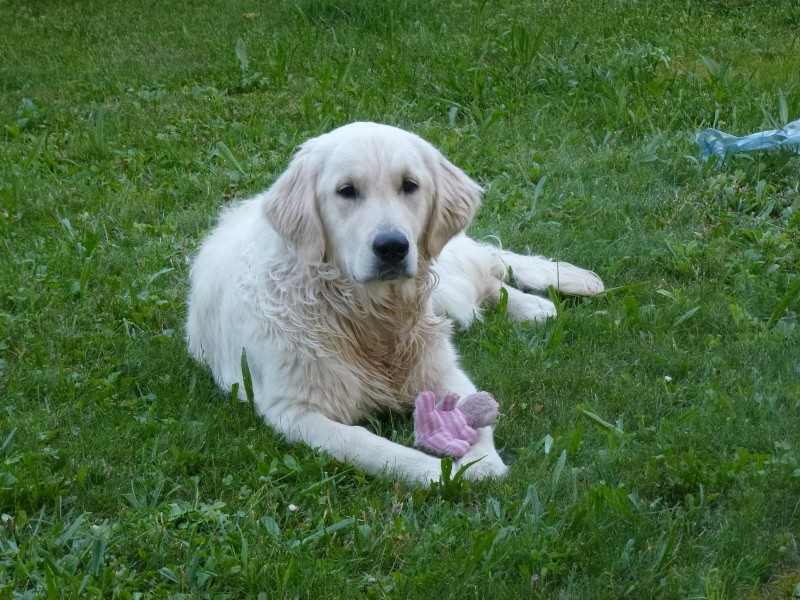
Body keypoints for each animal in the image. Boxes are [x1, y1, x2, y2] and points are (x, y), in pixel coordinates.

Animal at [186, 122, 600, 482]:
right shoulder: (294, 411)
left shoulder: (443, 370)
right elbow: (372, 448)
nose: (392, 247)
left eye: (409, 185)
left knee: (488, 265)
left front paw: (480, 463)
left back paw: (543, 302)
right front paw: (438, 473)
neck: (369, 318)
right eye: (346, 190)